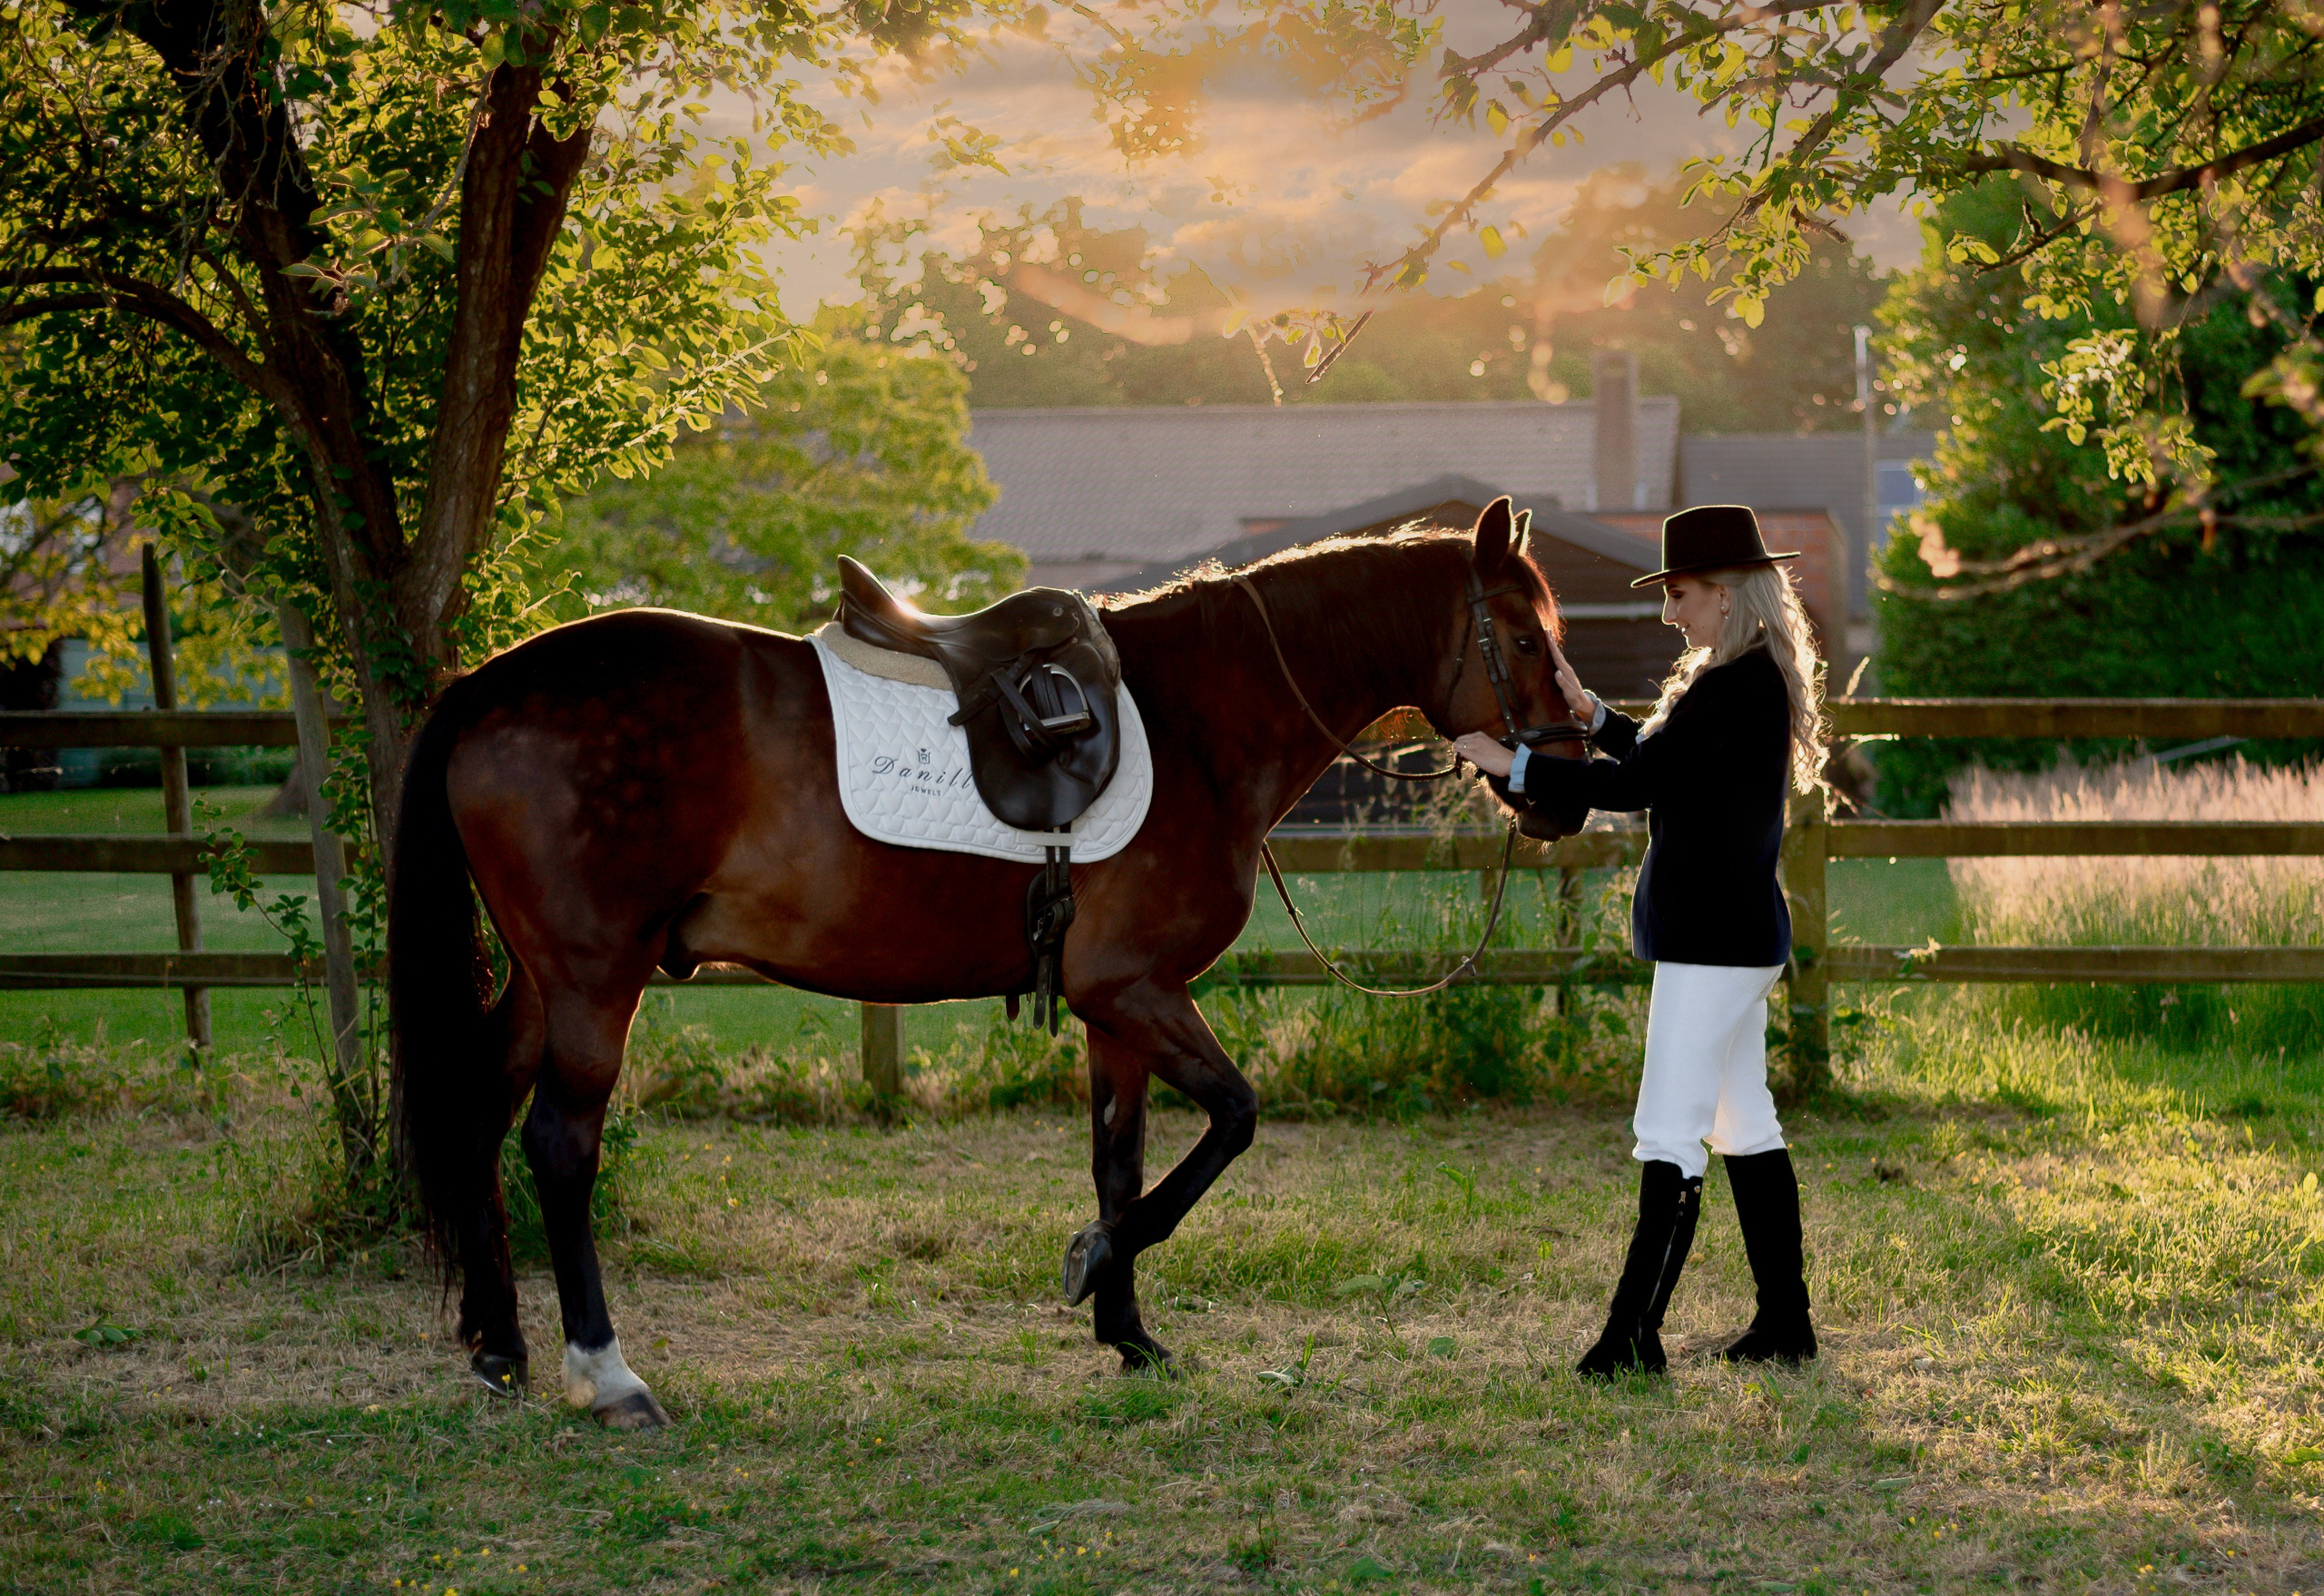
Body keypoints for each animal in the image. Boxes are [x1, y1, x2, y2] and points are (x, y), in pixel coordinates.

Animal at [388, 497, 1587, 1428]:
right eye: (1526, 640)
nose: (1571, 785)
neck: (1196, 721)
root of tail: (493, 682)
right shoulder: (1135, 990)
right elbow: (1232, 1122)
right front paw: (1095, 1265)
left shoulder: (1115, 1011)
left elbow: (1120, 1161)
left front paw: (1127, 1329)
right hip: (597, 979)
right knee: (558, 1145)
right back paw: (605, 1372)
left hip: (545, 979)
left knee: (481, 1116)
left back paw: (499, 1345)